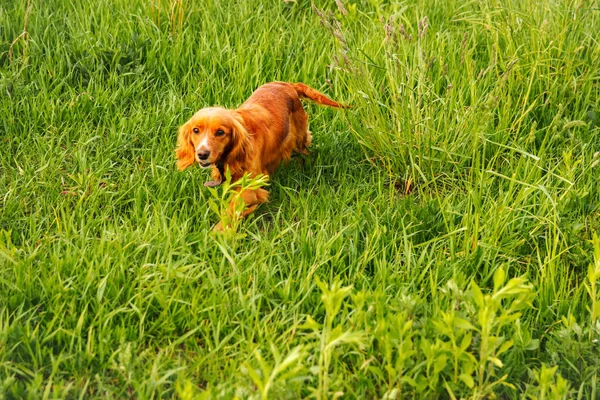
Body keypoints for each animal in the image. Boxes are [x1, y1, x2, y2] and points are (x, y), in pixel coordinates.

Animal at [176, 81, 346, 228]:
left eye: (220, 132)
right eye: (196, 130)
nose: (202, 154)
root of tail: (287, 84)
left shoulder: (250, 189)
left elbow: (232, 209)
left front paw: (218, 232)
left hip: (299, 139)